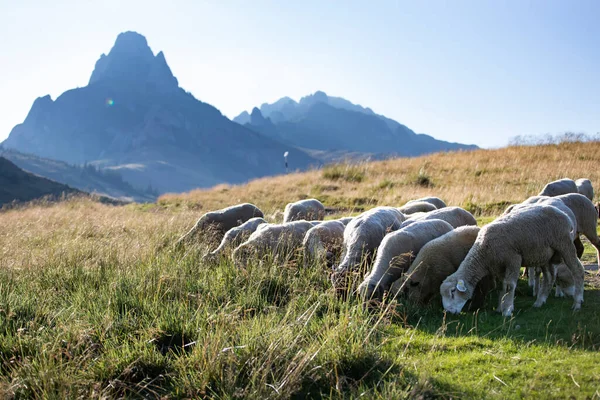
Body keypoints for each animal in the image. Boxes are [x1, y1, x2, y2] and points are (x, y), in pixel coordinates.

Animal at [438, 205, 584, 318]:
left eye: (452, 292)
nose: (449, 312)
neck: (483, 252)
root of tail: (565, 215)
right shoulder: (499, 267)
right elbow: (502, 286)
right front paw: (499, 307)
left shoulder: (513, 259)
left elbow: (510, 285)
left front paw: (507, 310)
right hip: (546, 254)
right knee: (549, 277)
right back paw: (540, 301)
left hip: (564, 244)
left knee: (577, 270)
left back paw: (577, 303)